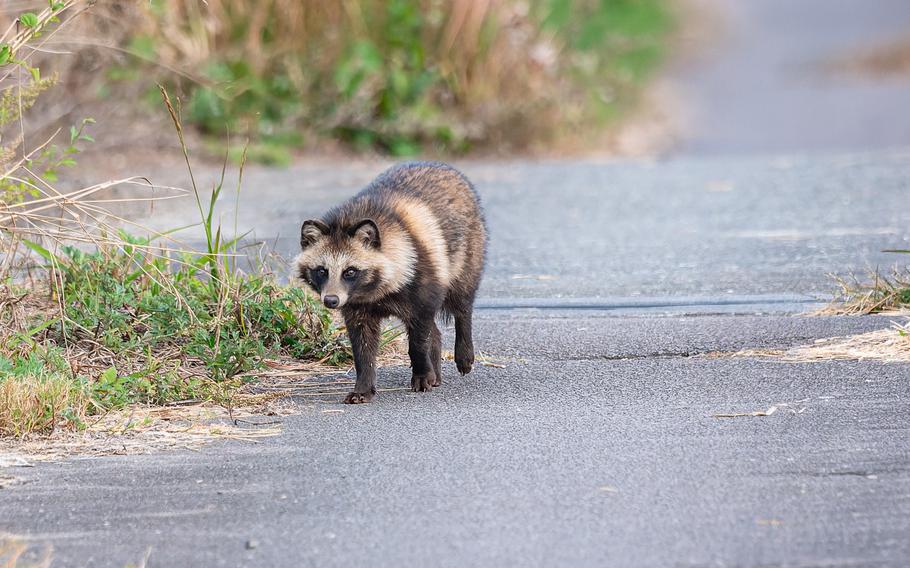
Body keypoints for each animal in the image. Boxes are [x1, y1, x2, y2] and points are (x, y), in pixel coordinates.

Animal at [295, 162, 487, 404]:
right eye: (322, 271)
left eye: (350, 271)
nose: (331, 300)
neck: (373, 291)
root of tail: (441, 166)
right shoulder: (357, 307)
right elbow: (362, 346)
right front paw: (364, 385)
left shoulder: (423, 284)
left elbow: (418, 341)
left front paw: (421, 372)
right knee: (434, 329)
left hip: (468, 254)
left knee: (462, 303)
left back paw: (461, 351)